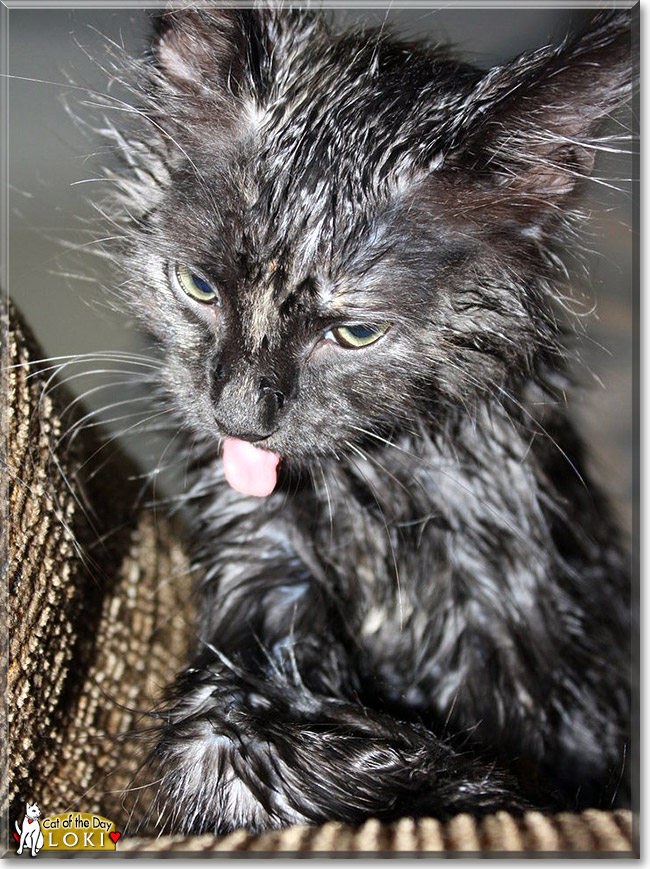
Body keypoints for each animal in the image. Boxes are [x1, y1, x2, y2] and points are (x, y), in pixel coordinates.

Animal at [107, 6, 632, 836]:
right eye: (197, 287)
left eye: (356, 333)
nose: (239, 415)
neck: (370, 499)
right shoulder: (260, 577)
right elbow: (219, 738)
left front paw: (459, 781)